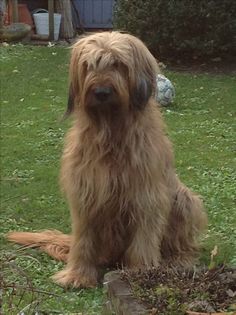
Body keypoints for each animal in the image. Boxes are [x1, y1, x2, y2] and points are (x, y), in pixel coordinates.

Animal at [7, 31, 206, 288]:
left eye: (118, 64)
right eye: (88, 65)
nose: (101, 92)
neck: (110, 129)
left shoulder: (145, 195)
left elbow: (144, 238)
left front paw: (141, 272)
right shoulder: (86, 193)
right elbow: (83, 239)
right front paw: (78, 275)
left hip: (184, 199)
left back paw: (178, 260)